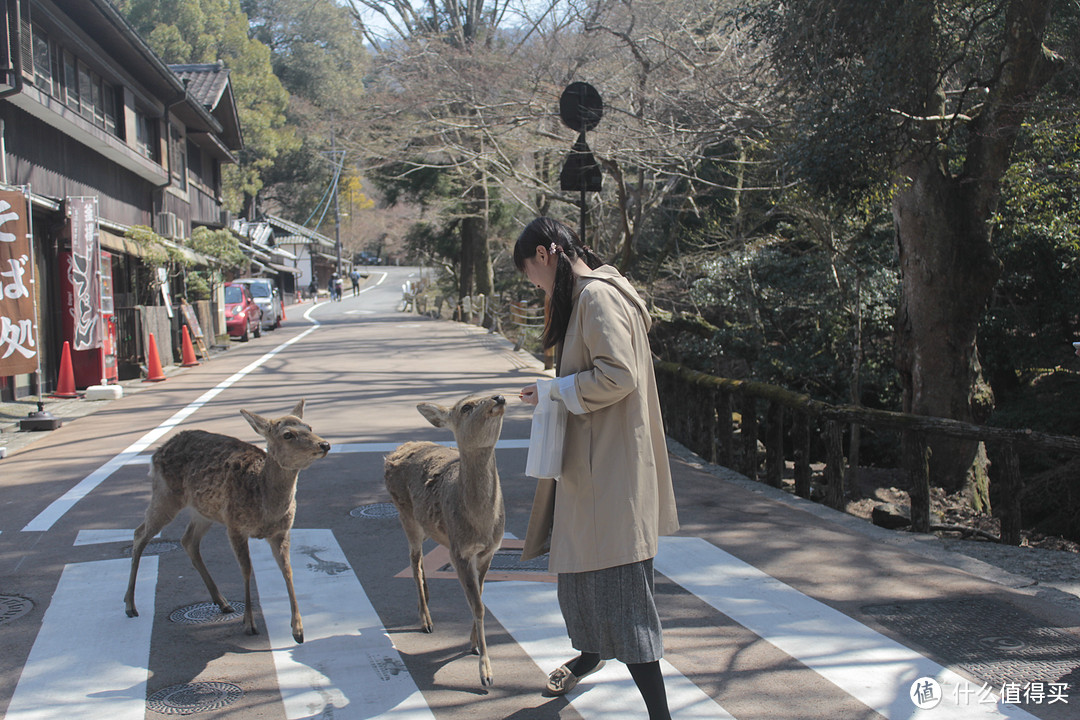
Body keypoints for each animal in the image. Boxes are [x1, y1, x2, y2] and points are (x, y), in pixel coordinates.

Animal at [123, 399, 328, 643]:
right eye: (288, 434)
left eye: (309, 427)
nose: (325, 444)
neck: (264, 503)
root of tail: (156, 454)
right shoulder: (235, 526)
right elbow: (246, 569)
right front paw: (249, 623)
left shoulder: (282, 532)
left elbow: (288, 570)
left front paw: (298, 629)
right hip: (165, 495)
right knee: (139, 533)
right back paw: (130, 605)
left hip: (203, 511)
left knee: (187, 540)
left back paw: (222, 602)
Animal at [386, 395, 507, 686]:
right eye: (466, 407)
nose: (499, 397)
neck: (482, 525)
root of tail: (398, 449)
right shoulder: (459, 552)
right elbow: (477, 605)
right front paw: (485, 672)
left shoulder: (489, 551)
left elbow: (480, 598)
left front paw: (473, 645)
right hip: (405, 513)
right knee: (413, 559)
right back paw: (425, 620)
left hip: (430, 526)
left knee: (419, 561)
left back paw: (428, 600)